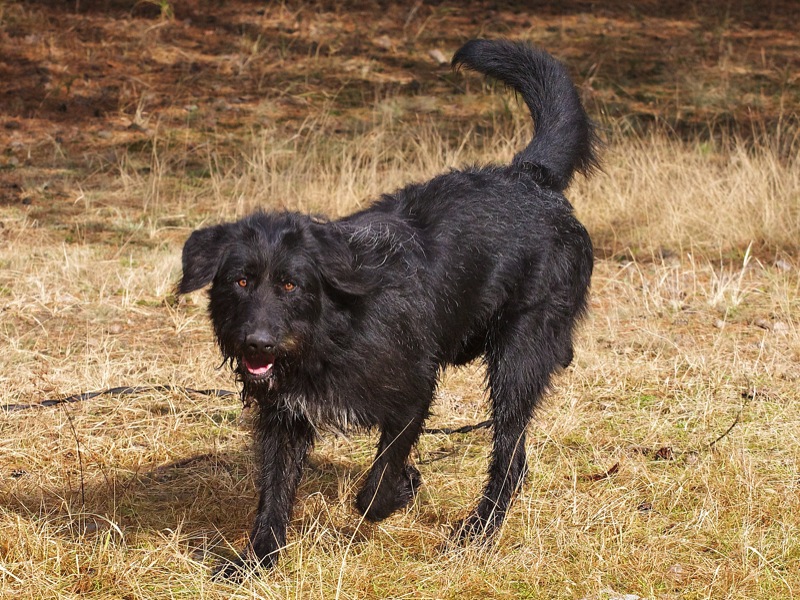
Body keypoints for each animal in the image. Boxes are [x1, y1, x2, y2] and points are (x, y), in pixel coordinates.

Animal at [178, 38, 598, 575]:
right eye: (241, 281)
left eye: (291, 285)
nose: (258, 344)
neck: (333, 332)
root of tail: (531, 177)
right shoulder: (284, 417)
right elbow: (274, 489)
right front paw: (257, 561)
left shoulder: (413, 393)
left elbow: (375, 487)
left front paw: (403, 488)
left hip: (519, 357)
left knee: (510, 455)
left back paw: (478, 531)